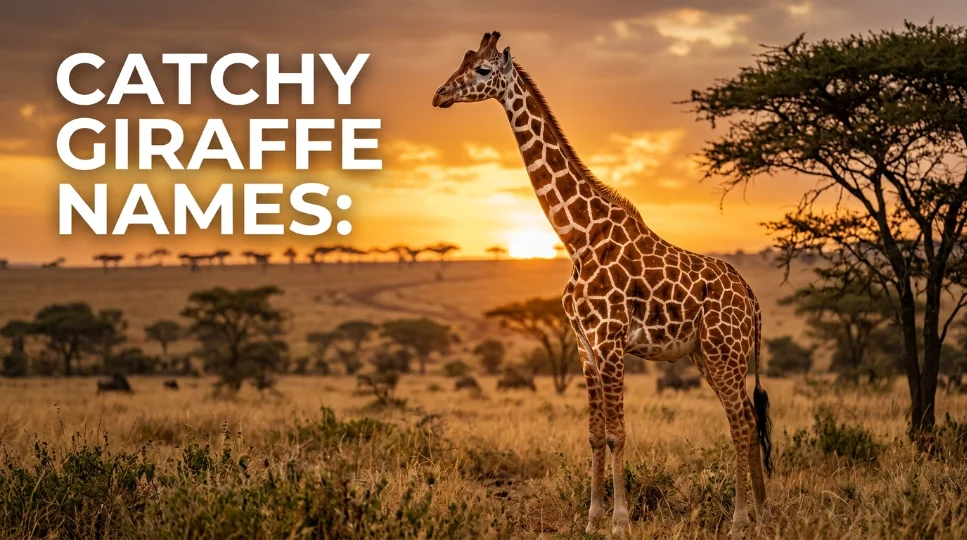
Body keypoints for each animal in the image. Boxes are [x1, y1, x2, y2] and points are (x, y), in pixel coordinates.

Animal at [432, 32, 773, 536]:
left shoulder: (610, 340)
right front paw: (592, 518)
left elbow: (616, 434)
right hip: (707, 355)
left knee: (742, 422)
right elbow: (594, 435)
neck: (577, 237)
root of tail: (751, 298)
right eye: (463, 60)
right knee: (748, 417)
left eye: (482, 70)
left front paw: (620, 521)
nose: (439, 95)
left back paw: (740, 520)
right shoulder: (583, 344)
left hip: (723, 351)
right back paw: (762, 515)